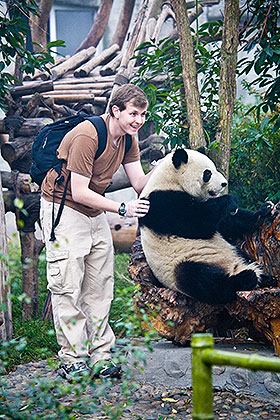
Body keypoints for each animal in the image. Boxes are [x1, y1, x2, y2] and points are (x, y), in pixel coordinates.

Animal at [139, 149, 274, 304]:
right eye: (207, 173)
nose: (224, 183)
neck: (171, 179)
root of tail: (234, 268)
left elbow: (225, 223)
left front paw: (263, 212)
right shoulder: (160, 203)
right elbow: (197, 223)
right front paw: (230, 200)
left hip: (235, 251)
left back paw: (265, 277)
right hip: (182, 264)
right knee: (200, 279)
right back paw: (246, 278)